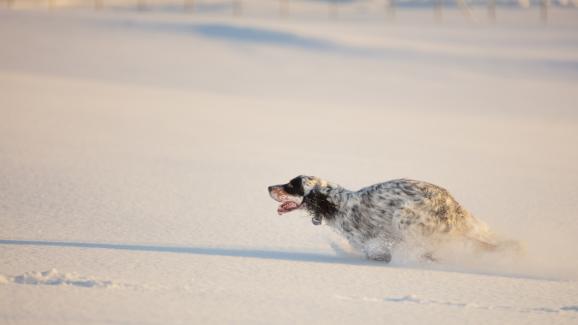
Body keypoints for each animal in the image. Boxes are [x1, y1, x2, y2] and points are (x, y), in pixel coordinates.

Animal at [268, 175, 498, 260]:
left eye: (291, 185)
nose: (269, 187)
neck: (336, 204)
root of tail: (450, 202)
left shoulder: (372, 242)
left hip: (404, 216)